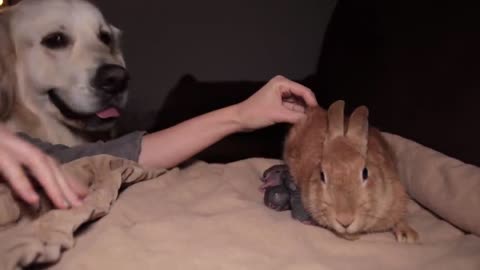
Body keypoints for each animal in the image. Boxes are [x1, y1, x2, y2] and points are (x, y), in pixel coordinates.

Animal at [284, 100, 418, 244]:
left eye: (365, 172)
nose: (345, 220)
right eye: (322, 175)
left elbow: (399, 218)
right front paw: (351, 236)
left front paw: (408, 235)